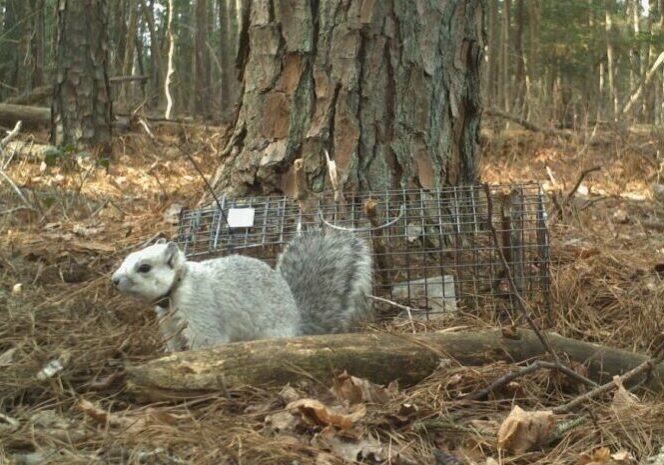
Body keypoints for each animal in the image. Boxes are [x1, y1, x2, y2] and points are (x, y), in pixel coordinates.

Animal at [111, 228, 370, 352]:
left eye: (144, 267)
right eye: (127, 258)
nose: (114, 280)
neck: (178, 288)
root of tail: (298, 323)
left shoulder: (202, 312)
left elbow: (206, 342)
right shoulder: (168, 322)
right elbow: (172, 342)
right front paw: (171, 355)